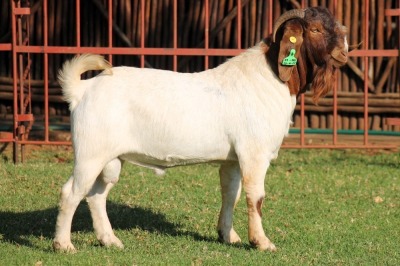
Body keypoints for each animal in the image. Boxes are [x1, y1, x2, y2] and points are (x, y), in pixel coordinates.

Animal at [53, 6, 346, 251]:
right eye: (315, 29)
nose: (344, 52)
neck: (269, 78)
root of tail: (81, 89)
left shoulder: (232, 160)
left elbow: (231, 195)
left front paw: (228, 236)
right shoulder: (255, 154)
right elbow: (256, 197)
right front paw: (262, 242)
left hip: (111, 159)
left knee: (96, 195)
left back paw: (110, 240)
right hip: (90, 154)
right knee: (71, 193)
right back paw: (64, 245)